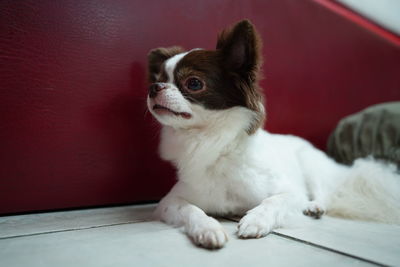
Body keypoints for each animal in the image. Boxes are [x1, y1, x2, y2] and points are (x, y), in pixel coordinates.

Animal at [146, 19, 400, 250]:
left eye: (194, 83)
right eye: (158, 79)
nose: (153, 88)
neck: (212, 142)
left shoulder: (291, 192)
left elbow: (273, 201)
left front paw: (255, 221)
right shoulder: (170, 201)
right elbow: (192, 209)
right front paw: (208, 229)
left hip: (310, 164)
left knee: (323, 192)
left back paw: (314, 207)